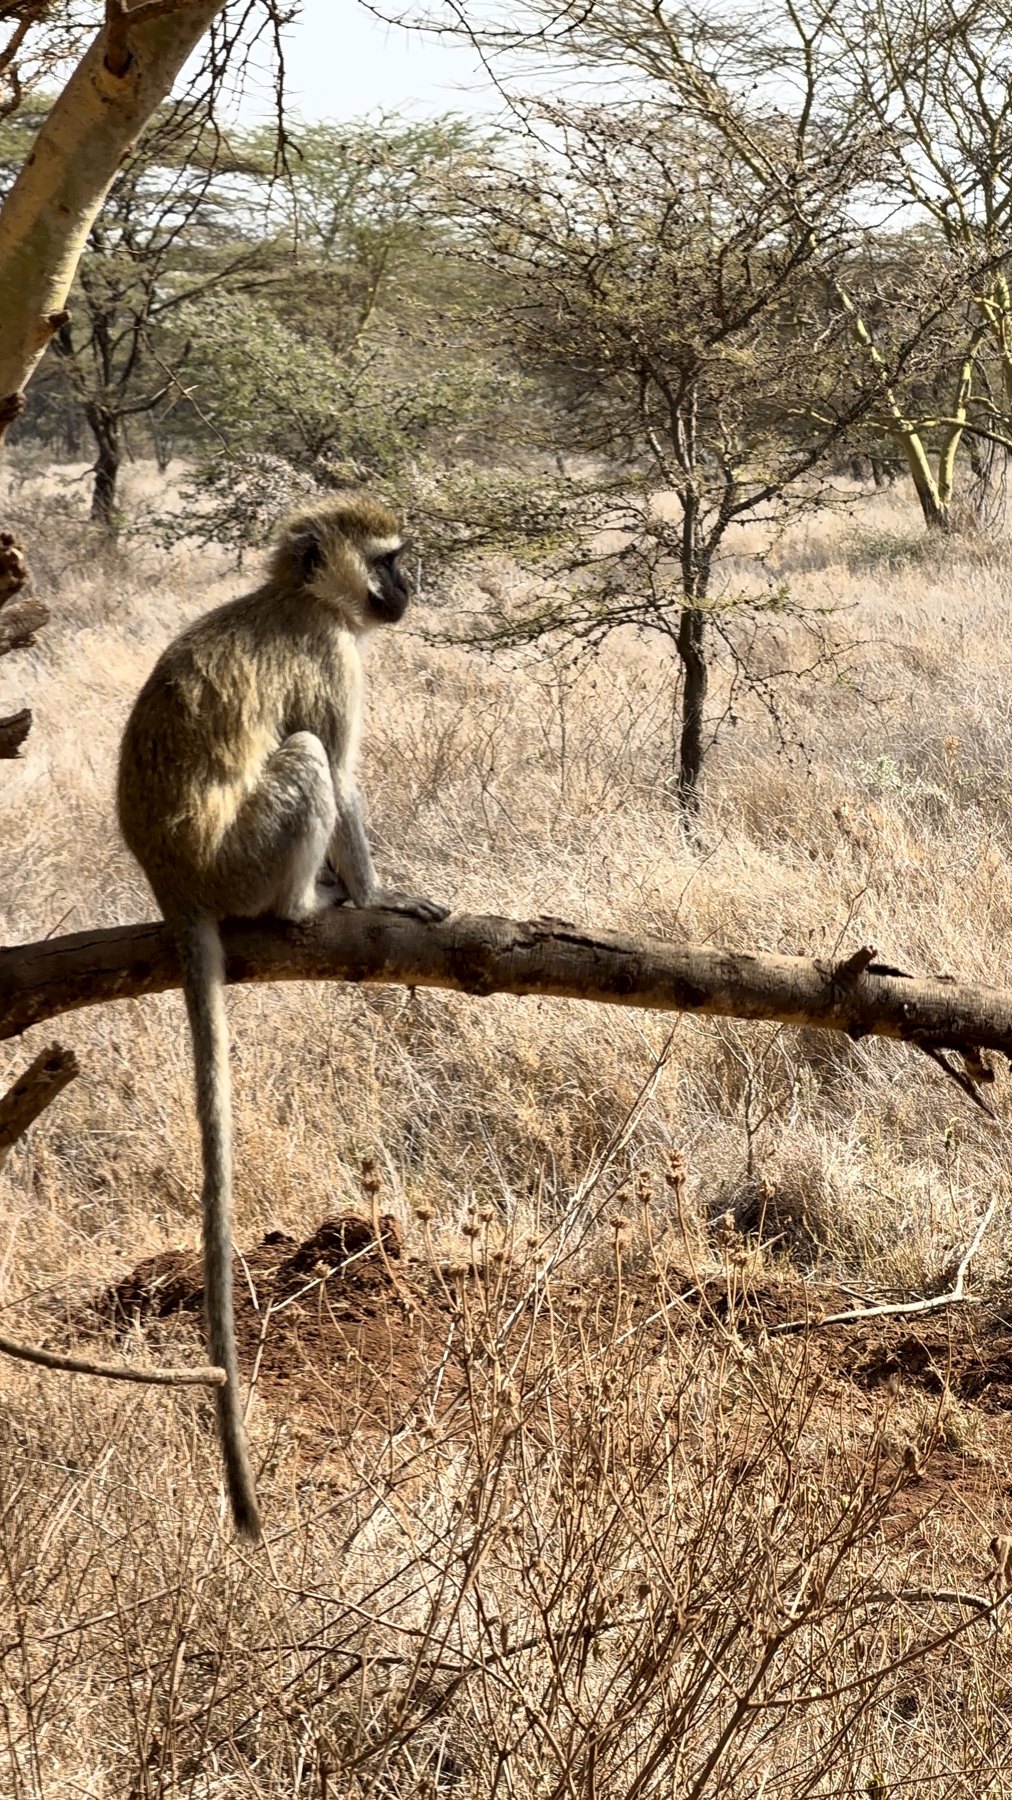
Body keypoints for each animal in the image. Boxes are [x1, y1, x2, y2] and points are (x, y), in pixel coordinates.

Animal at [116, 493, 449, 1540]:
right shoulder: (332, 659)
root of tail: (174, 882)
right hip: (247, 859)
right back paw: (311, 906)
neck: (298, 599)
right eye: (388, 559)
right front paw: (382, 894)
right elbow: (340, 769)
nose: (411, 588)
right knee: (306, 762)